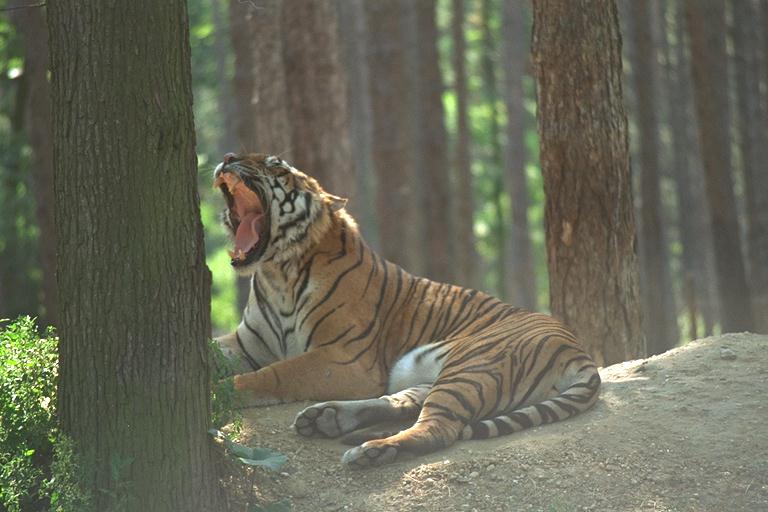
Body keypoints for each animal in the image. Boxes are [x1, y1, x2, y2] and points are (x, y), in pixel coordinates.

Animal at [213, 152, 601, 469]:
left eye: (275, 166)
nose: (228, 157)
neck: (277, 272)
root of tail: (579, 351)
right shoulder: (247, 343)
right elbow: (215, 350)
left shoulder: (345, 358)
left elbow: (273, 374)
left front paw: (221, 392)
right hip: (420, 370)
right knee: (401, 401)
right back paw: (326, 418)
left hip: (473, 365)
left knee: (439, 427)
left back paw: (370, 451)